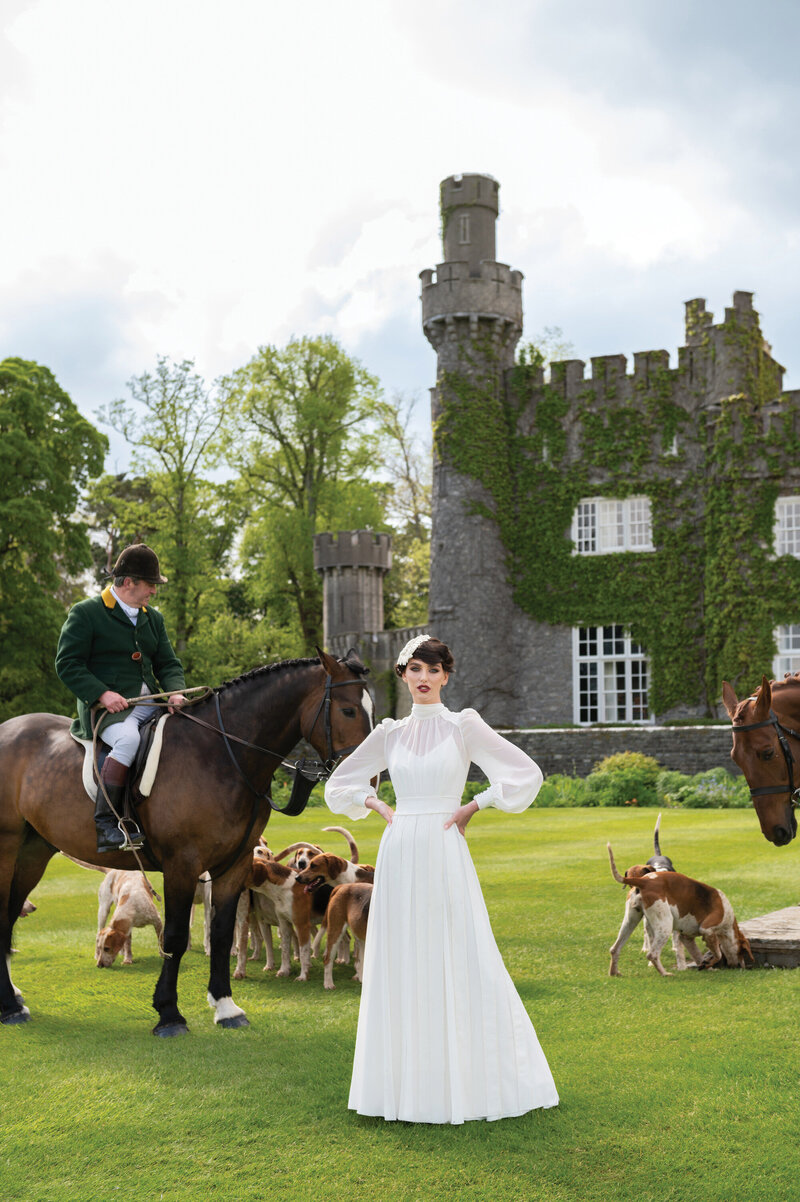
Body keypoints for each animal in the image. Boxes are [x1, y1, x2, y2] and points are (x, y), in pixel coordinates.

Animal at [0, 649, 374, 1033]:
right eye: (348, 710)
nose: (371, 778)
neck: (221, 754)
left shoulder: (234, 866)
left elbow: (222, 934)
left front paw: (225, 1007)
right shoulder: (181, 865)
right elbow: (176, 937)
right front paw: (168, 1013)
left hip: (33, 854)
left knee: (9, 917)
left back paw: (11, 1001)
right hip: (7, 849)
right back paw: (10, 1006)